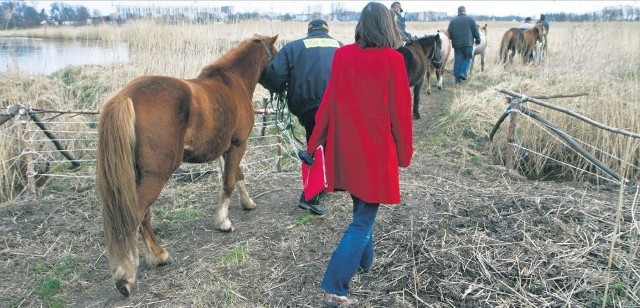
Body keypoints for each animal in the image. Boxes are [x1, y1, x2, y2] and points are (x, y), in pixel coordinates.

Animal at [95, 33, 278, 296]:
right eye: (276, 53)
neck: (231, 83)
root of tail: (125, 95)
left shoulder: (228, 149)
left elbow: (238, 176)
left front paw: (248, 203)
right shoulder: (238, 146)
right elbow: (230, 181)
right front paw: (223, 222)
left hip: (141, 175)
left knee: (143, 215)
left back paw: (158, 256)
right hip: (156, 175)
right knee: (135, 215)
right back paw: (126, 274)